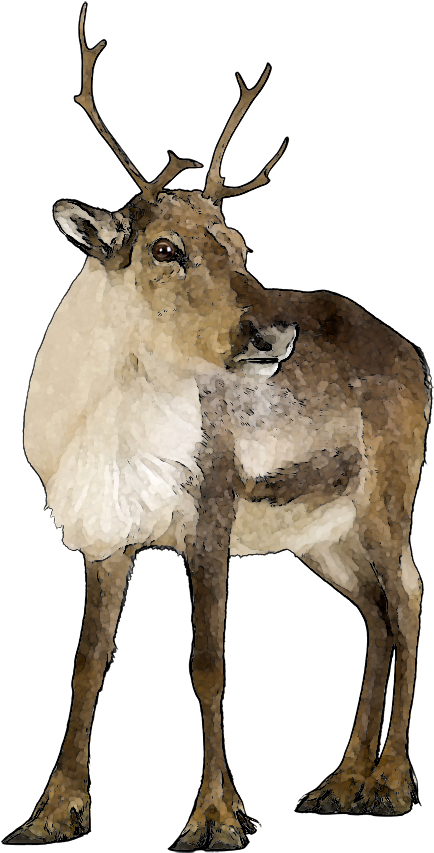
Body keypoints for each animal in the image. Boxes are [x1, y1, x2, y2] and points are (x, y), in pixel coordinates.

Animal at [3, 1, 430, 848]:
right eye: (164, 247)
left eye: (238, 244)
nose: (273, 334)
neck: (95, 434)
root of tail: (411, 354)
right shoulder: (108, 534)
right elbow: (88, 663)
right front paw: (52, 812)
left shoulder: (214, 506)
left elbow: (207, 659)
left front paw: (216, 819)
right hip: (319, 532)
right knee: (370, 609)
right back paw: (339, 782)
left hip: (385, 496)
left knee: (406, 596)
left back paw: (391, 783)